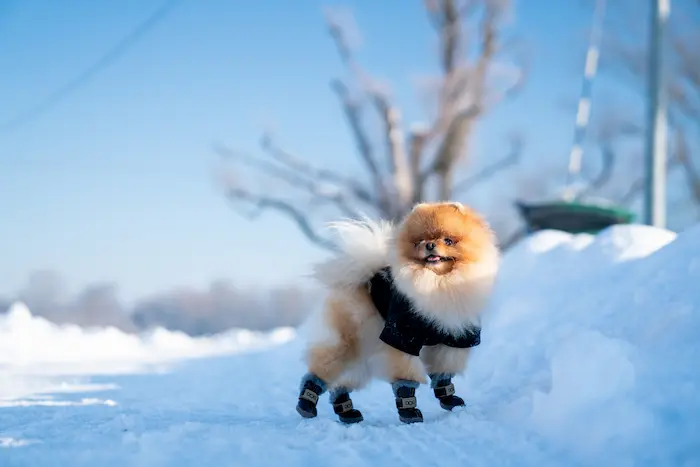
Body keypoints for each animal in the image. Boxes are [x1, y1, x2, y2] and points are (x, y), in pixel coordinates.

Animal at [292, 201, 500, 424]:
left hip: (364, 348)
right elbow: (405, 377)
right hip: (347, 340)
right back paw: (306, 403)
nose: (429, 245)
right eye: (419, 242)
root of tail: (363, 278)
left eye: (448, 240)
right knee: (324, 367)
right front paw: (409, 411)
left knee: (342, 382)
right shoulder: (402, 336)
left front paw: (449, 398)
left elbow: (444, 372)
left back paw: (346, 412)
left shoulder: (454, 338)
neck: (440, 283)